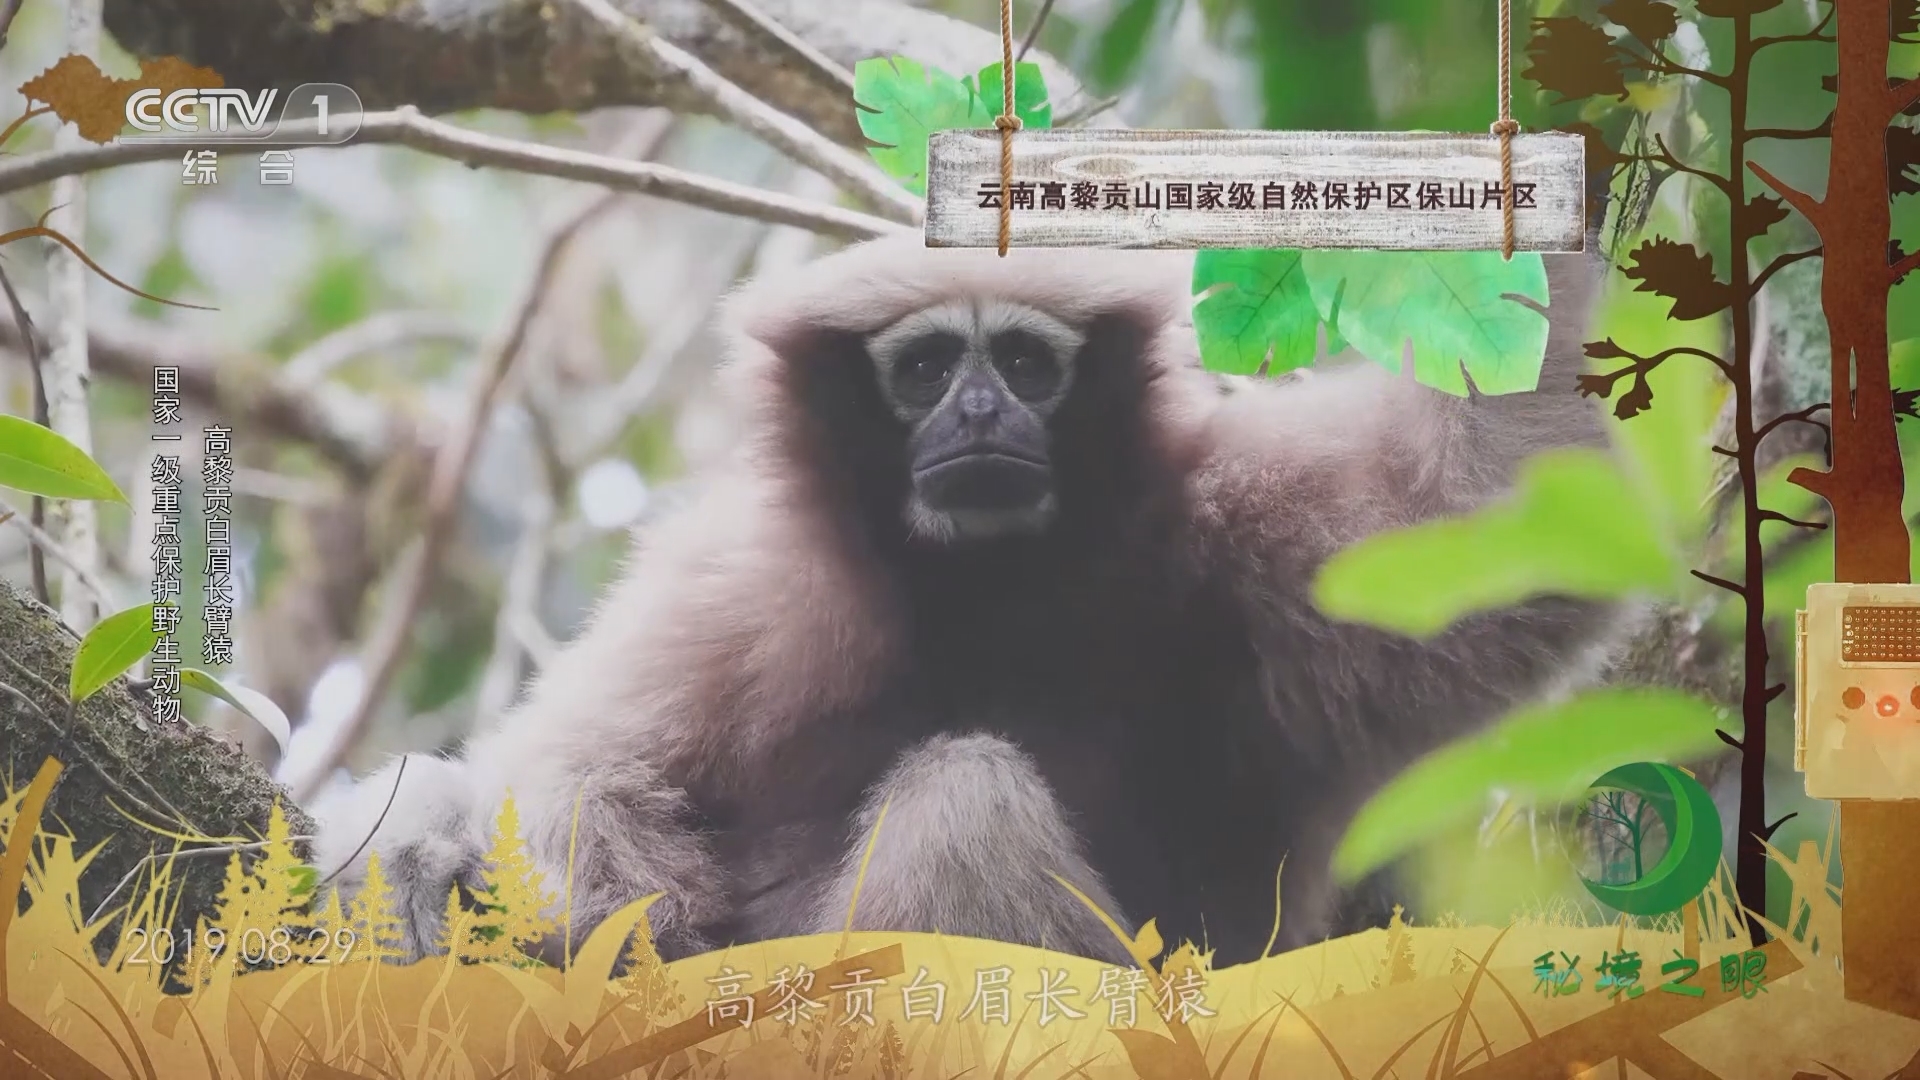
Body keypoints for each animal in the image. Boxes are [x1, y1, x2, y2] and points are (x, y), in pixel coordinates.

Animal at [311, 232, 1620, 969]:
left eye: (1028, 365)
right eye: (931, 365)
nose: (983, 411)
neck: (990, 589)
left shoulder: (1249, 527)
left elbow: (1483, 500)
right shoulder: (742, 581)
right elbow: (581, 764)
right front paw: (426, 848)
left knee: (963, 795)